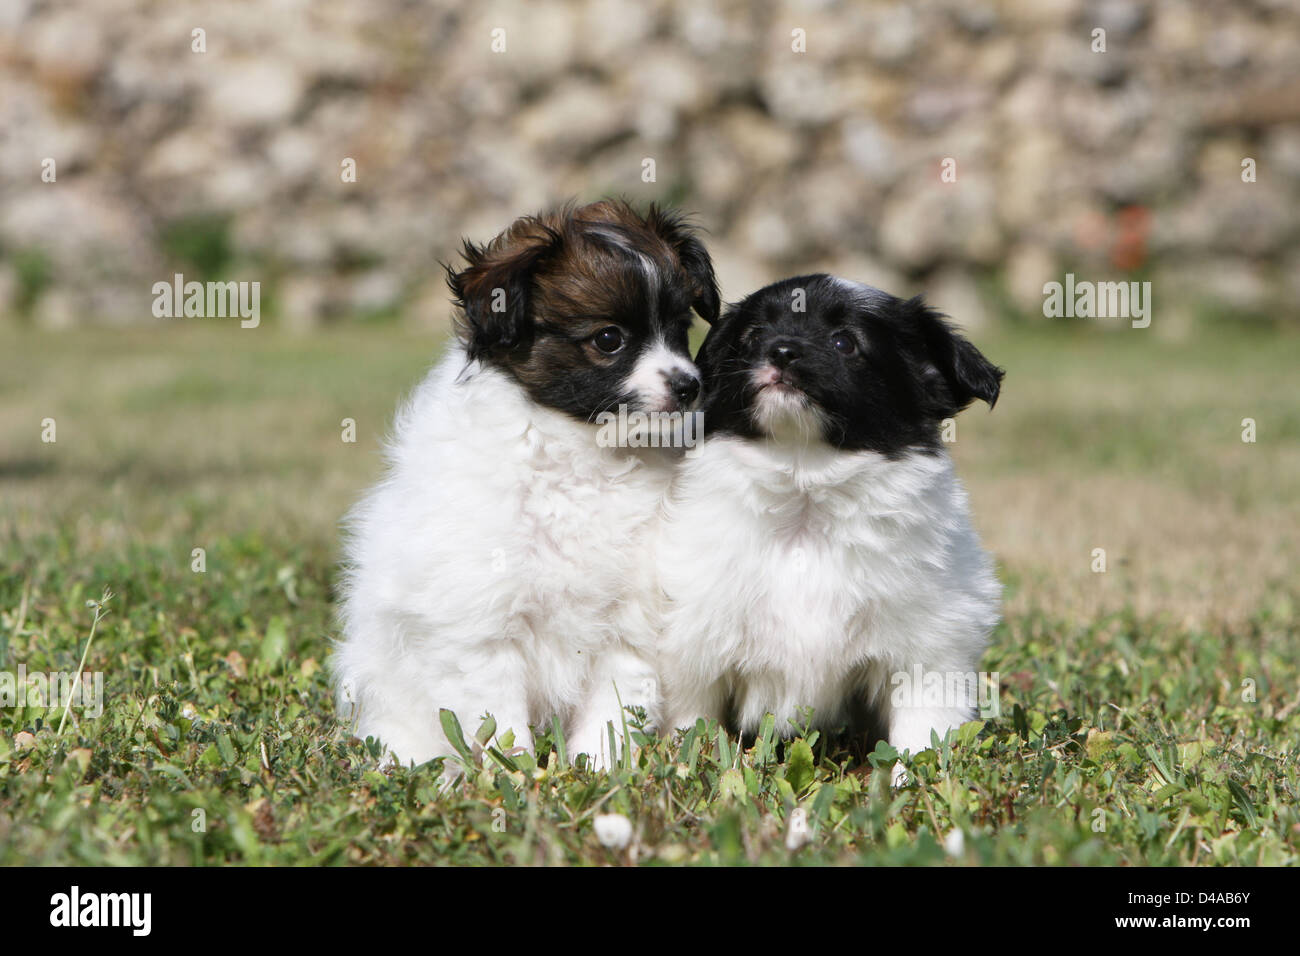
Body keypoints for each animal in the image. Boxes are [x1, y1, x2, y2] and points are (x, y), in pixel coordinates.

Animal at [332, 197, 722, 775]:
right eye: (609, 339)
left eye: (679, 328)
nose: (689, 385)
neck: (582, 453)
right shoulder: (481, 623)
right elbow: (496, 722)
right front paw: (509, 779)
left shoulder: (632, 618)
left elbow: (615, 707)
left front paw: (600, 773)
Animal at [660, 273, 1003, 780]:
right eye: (753, 337)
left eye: (845, 343)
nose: (781, 350)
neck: (806, 489)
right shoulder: (695, 647)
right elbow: (694, 726)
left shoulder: (927, 646)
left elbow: (922, 733)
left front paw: (910, 786)